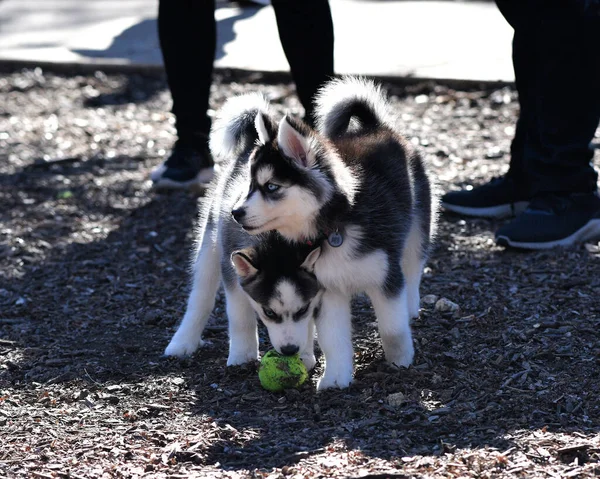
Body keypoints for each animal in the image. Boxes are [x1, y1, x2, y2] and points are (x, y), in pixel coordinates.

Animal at [163, 94, 324, 372]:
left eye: (302, 310)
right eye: (269, 312)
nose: (289, 350)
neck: (274, 240)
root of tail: (252, 145)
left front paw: (305, 353)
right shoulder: (233, 271)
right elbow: (240, 316)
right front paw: (242, 354)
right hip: (210, 244)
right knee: (200, 298)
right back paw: (183, 341)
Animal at [229, 76, 436, 390]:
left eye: (271, 187)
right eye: (250, 185)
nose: (235, 212)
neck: (332, 230)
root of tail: (374, 127)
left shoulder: (386, 277)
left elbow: (392, 327)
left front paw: (401, 360)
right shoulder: (325, 290)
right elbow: (333, 339)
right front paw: (336, 378)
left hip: (417, 232)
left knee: (413, 270)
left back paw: (412, 306)